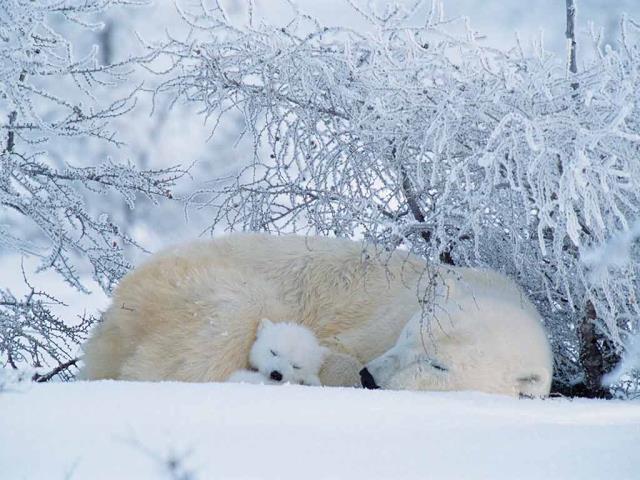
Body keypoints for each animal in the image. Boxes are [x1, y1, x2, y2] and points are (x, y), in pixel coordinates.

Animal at [80, 233, 553, 397]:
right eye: (407, 335)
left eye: (438, 364)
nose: (371, 377)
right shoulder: (380, 320)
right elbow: (333, 349)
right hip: (191, 284)